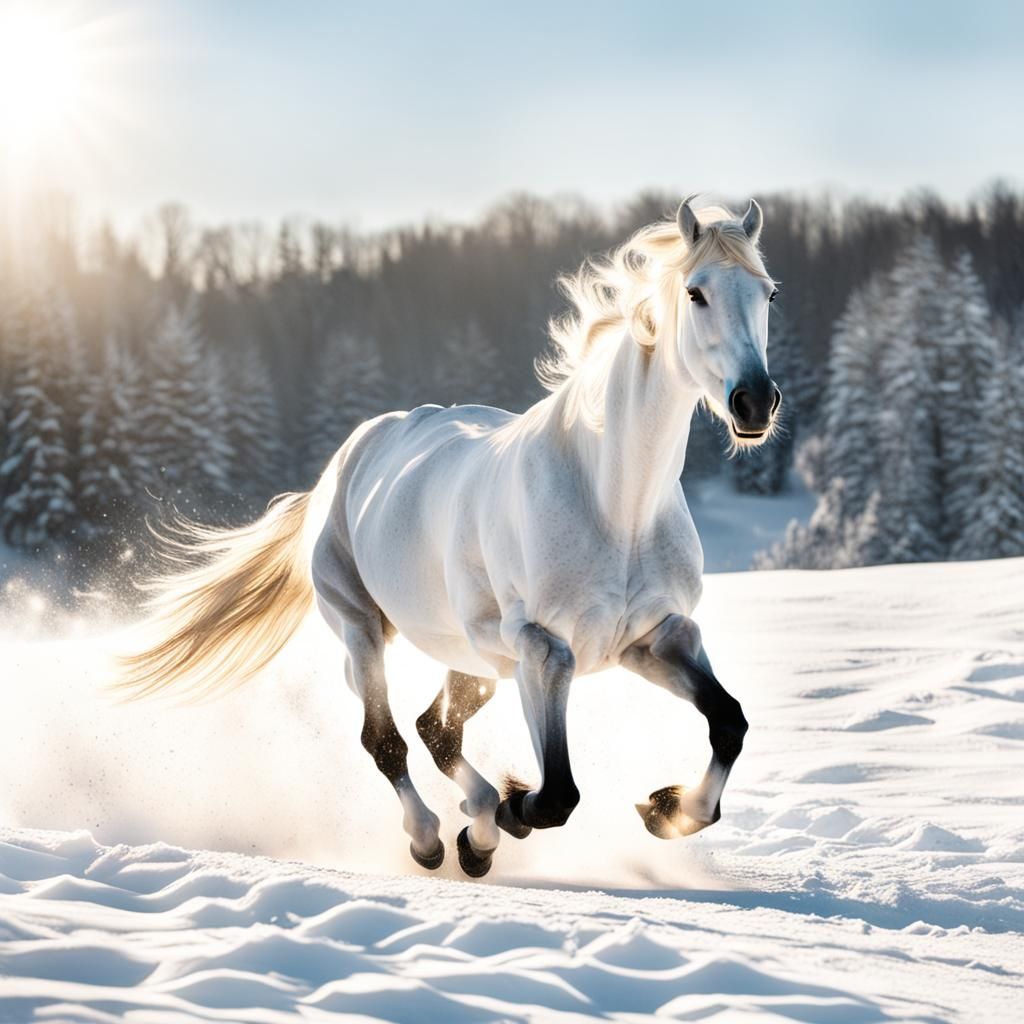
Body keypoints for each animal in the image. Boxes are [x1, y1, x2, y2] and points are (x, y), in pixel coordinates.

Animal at [118, 197, 782, 878]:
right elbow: (557, 795)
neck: (614, 504)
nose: (755, 402)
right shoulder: (545, 650)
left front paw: (666, 808)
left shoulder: (658, 637)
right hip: (362, 627)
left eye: (769, 293)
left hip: (473, 660)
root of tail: (349, 457)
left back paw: (478, 829)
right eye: (697, 292)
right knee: (386, 738)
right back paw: (440, 837)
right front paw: (518, 805)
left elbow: (729, 723)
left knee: (436, 729)